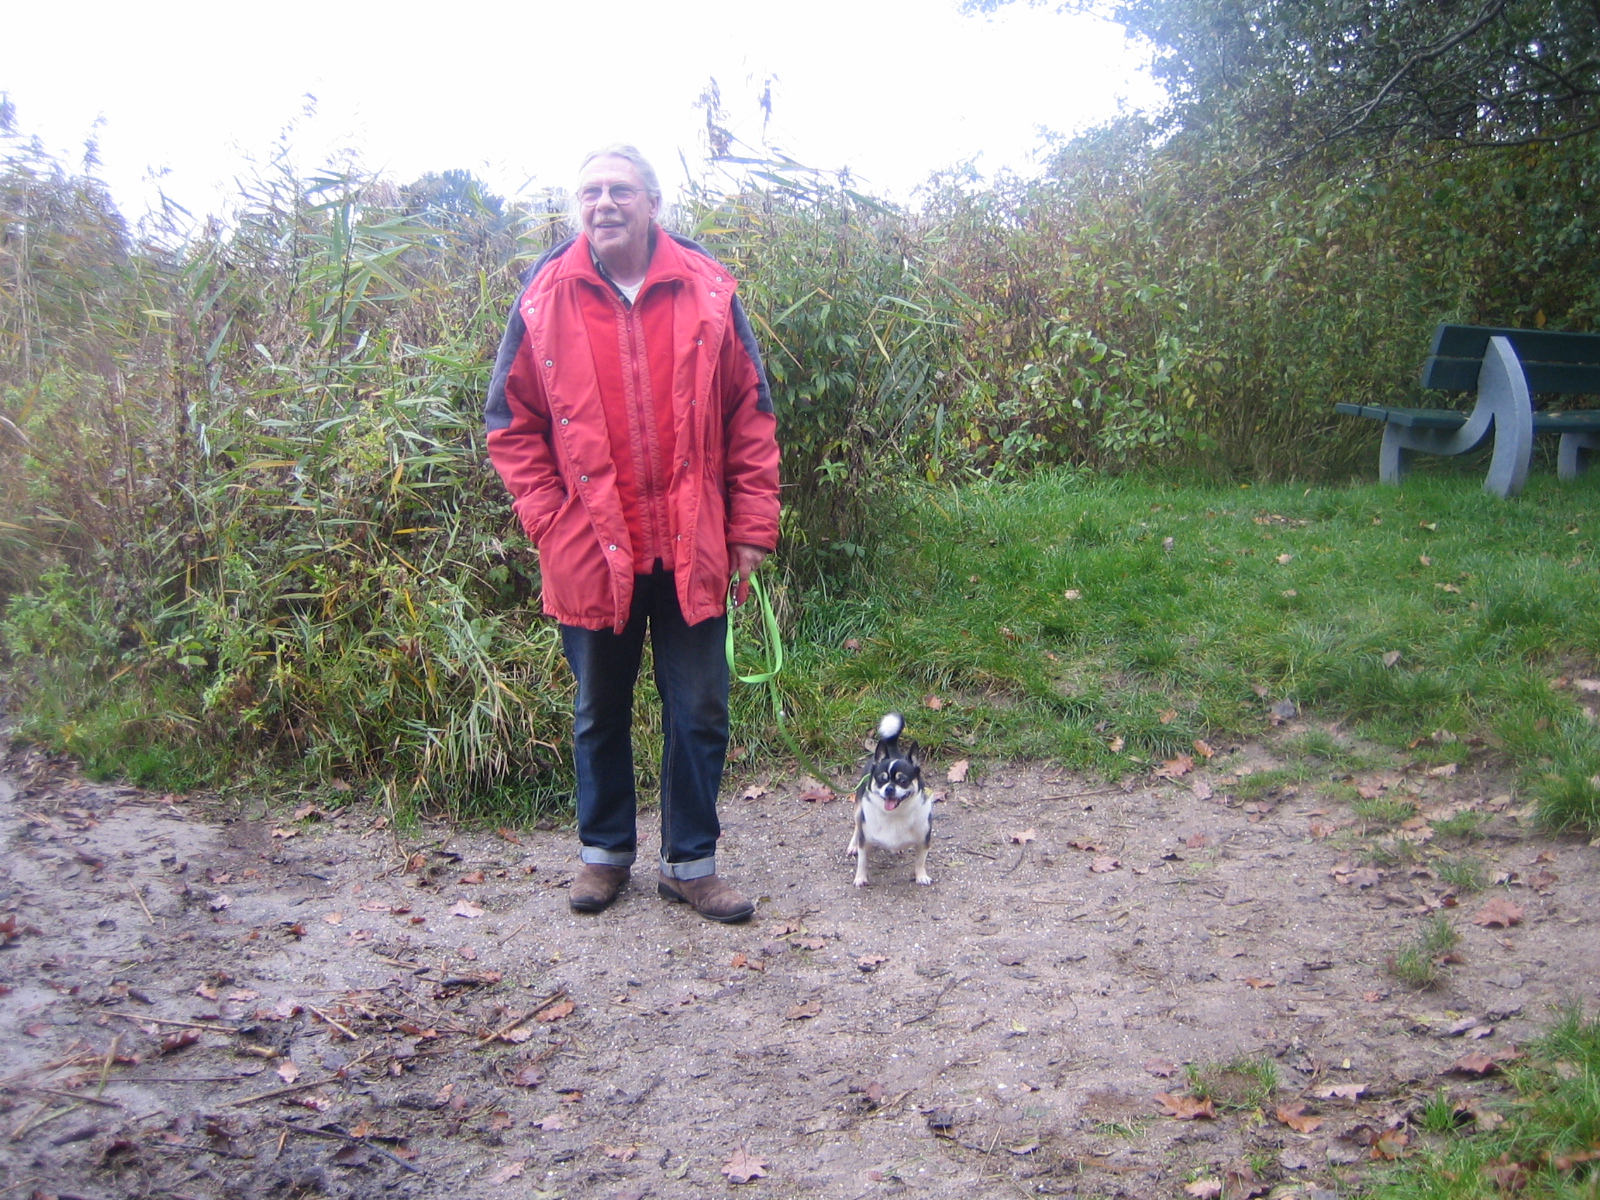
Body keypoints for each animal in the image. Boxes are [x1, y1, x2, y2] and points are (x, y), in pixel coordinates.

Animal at [847, 713, 934, 887]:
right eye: (881, 780)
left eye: (903, 781)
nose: (889, 788)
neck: (894, 815)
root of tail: (892, 748)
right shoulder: (865, 842)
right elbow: (862, 862)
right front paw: (860, 878)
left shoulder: (923, 841)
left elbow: (920, 861)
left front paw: (921, 876)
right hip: (859, 809)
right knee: (857, 825)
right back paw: (853, 845)